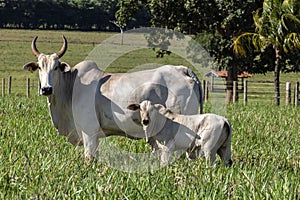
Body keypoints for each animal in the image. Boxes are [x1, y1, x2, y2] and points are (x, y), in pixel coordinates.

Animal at [23, 34, 204, 159]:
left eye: (56, 67)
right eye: (40, 67)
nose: (46, 89)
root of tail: (182, 69)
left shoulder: (89, 132)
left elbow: (89, 158)